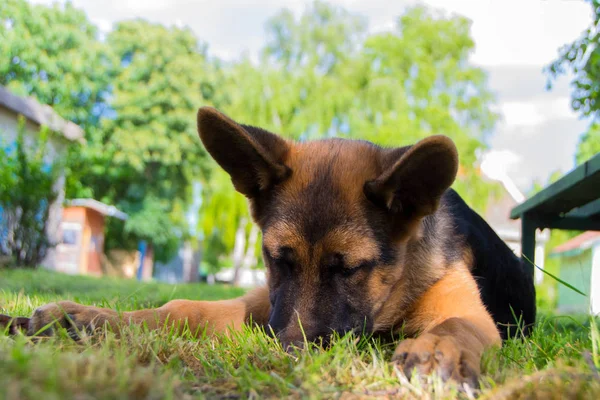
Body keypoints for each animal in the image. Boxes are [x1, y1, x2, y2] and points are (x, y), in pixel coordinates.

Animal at [1, 106, 536, 384]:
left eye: (350, 269)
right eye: (277, 258)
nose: (287, 356)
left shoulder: (466, 310)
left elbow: (457, 325)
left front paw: (435, 350)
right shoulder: (263, 299)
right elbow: (182, 308)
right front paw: (87, 318)